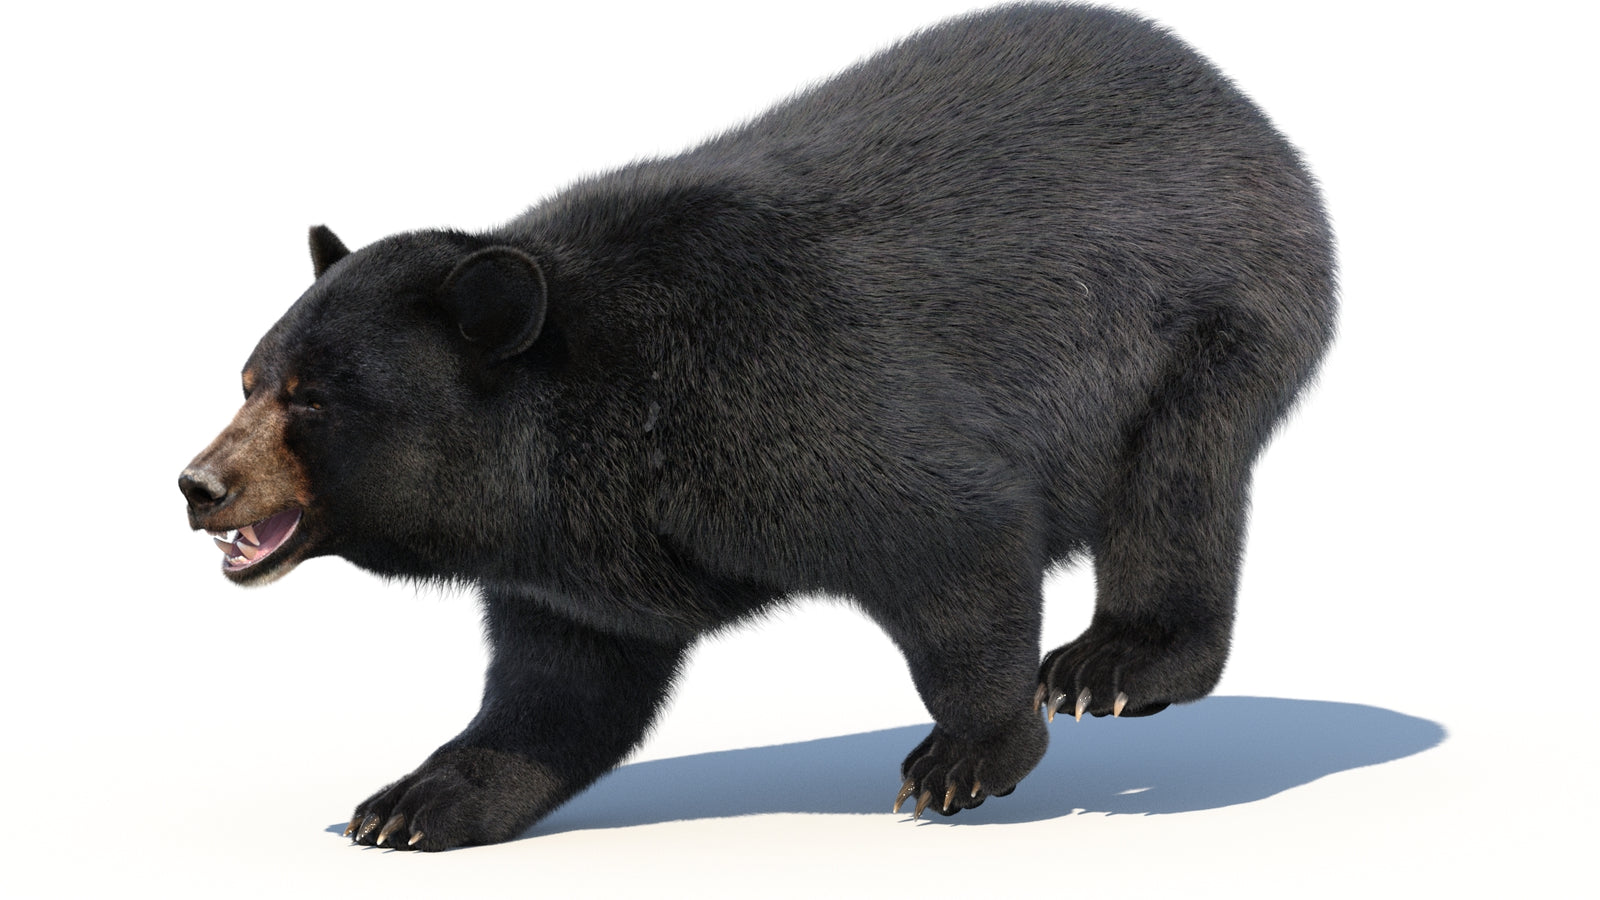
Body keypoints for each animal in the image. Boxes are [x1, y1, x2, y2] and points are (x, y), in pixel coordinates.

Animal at [179, 3, 1335, 851]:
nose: (198, 485)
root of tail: (1235, 100)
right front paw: (414, 801)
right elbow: (561, 686)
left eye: (312, 399)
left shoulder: (788, 401)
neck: (598, 419)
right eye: (249, 377)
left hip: (1213, 324)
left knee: (1174, 489)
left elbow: (956, 537)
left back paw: (1114, 666)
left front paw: (965, 759)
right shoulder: (578, 558)